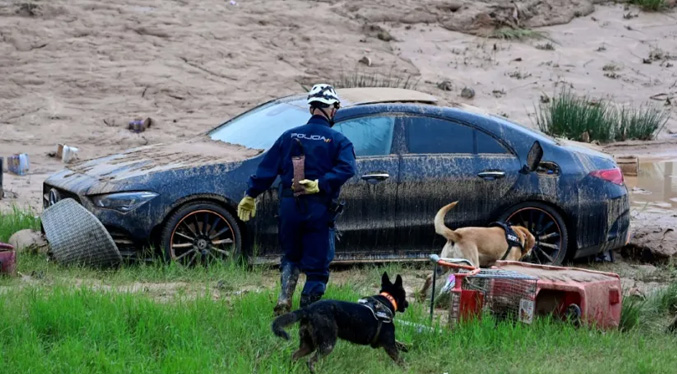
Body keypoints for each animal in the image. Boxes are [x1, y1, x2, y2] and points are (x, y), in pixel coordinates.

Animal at [272, 274, 410, 372]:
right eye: (404, 294)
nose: (408, 304)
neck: (386, 301)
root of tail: (308, 309)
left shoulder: (386, 342)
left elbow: (399, 344)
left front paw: (406, 346)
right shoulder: (389, 345)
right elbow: (401, 360)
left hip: (308, 344)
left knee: (294, 356)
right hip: (327, 344)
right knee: (310, 362)